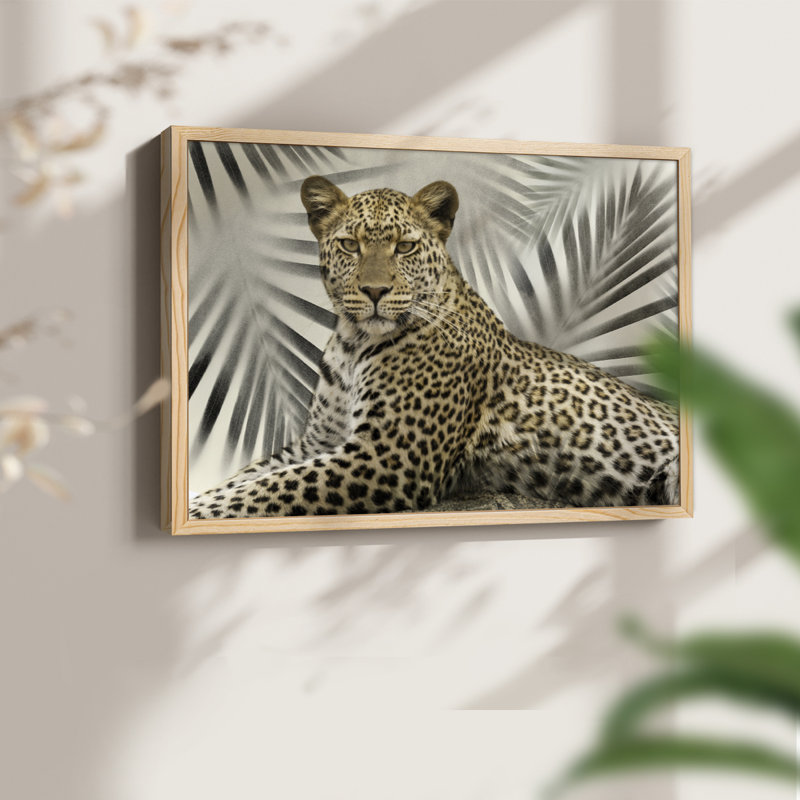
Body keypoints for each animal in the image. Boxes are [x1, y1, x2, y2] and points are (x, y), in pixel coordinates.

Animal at [189, 176, 680, 520]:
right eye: (349, 244)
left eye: (405, 247)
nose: (374, 291)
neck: (353, 344)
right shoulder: (319, 442)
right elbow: (249, 478)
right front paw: (197, 498)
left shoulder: (387, 457)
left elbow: (266, 489)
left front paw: (198, 510)